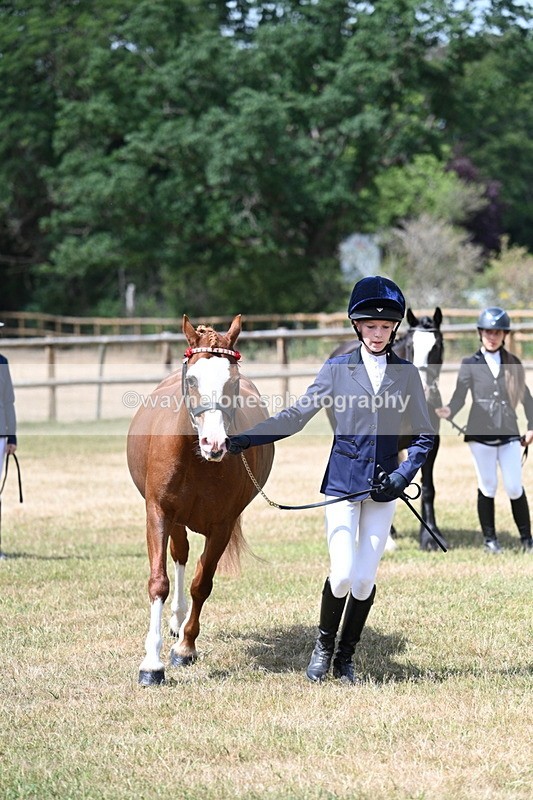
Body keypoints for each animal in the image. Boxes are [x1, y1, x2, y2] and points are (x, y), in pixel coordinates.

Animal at [127, 314, 274, 685]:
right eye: (192, 379)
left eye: (233, 382)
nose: (214, 443)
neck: (197, 461)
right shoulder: (158, 513)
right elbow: (159, 582)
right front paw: (152, 663)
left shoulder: (222, 526)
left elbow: (201, 584)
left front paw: (185, 649)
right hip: (176, 520)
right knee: (179, 555)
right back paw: (175, 620)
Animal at [327, 308, 446, 551]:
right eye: (410, 346)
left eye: (437, 346)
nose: (424, 391)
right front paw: (388, 539)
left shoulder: (431, 443)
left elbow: (428, 489)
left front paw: (430, 537)